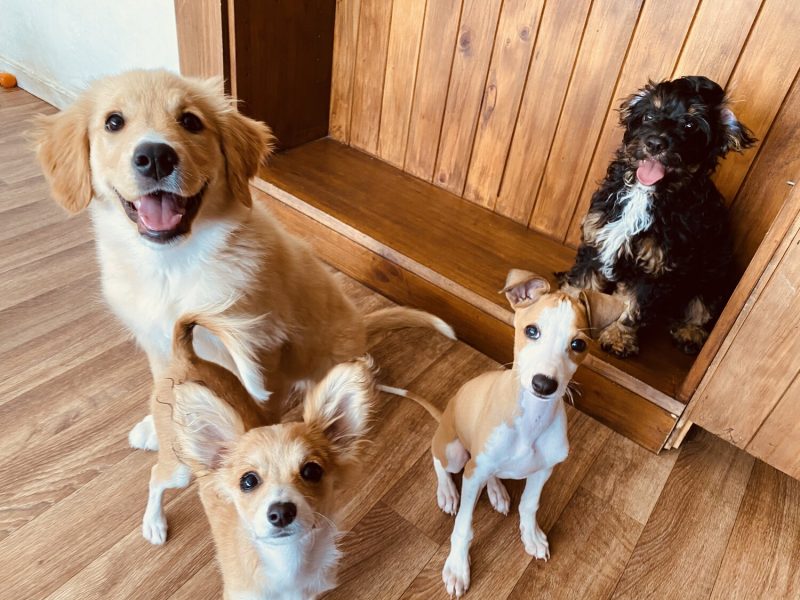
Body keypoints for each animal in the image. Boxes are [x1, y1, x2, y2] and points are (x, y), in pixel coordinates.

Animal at [31, 70, 454, 544]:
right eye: (113, 122)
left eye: (191, 121)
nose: (155, 157)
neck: (174, 264)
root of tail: (362, 324)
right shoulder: (158, 342)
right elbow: (166, 384)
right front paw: (159, 425)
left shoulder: (261, 347)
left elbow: (257, 404)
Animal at [428, 270, 620, 596]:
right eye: (532, 331)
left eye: (578, 345)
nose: (543, 384)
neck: (531, 419)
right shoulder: (474, 472)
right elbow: (464, 527)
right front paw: (456, 567)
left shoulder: (544, 470)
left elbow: (530, 504)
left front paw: (531, 536)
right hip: (455, 453)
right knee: (439, 459)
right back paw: (448, 492)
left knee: (491, 474)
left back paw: (497, 492)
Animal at [560, 76, 752, 356]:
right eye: (650, 115)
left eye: (690, 124)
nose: (654, 143)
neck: (646, 192)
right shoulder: (598, 236)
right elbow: (583, 281)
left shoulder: (656, 266)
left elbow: (633, 305)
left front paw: (619, 337)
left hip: (716, 270)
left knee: (703, 305)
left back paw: (690, 332)